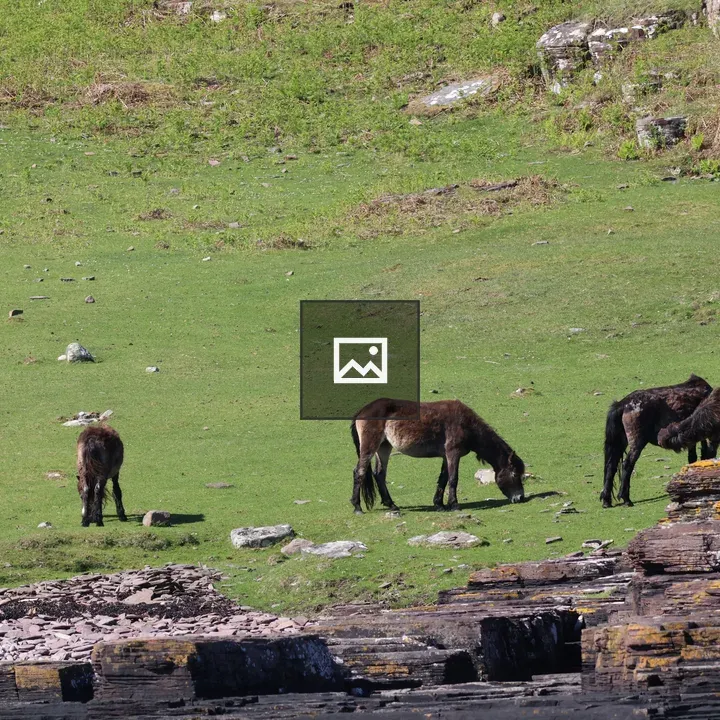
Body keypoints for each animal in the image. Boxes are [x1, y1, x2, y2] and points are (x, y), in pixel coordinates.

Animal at [349, 398, 525, 514]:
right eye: (515, 474)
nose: (520, 498)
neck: (466, 423)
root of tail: (363, 410)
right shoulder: (453, 453)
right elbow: (453, 479)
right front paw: (454, 505)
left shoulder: (446, 456)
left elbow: (443, 478)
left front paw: (439, 505)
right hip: (370, 446)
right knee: (360, 472)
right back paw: (357, 507)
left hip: (384, 447)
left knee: (379, 474)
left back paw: (392, 505)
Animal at [601, 374, 714, 508]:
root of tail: (623, 404)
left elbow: (693, 457)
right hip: (637, 442)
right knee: (627, 464)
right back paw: (626, 499)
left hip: (621, 442)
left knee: (611, 465)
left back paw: (606, 501)